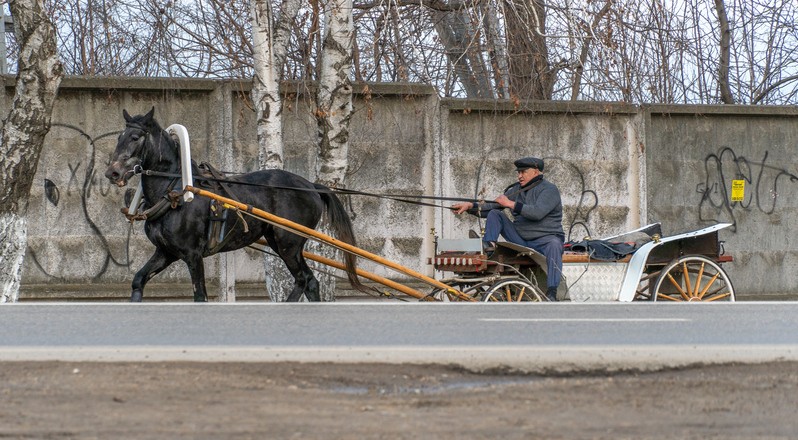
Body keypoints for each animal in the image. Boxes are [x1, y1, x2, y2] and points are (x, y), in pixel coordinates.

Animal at [105, 107, 362, 302]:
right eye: (119, 137)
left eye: (135, 138)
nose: (112, 173)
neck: (175, 192)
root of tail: (310, 186)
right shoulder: (166, 251)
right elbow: (138, 280)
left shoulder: (192, 255)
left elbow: (200, 296)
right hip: (279, 242)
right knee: (305, 281)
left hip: (289, 244)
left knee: (307, 280)